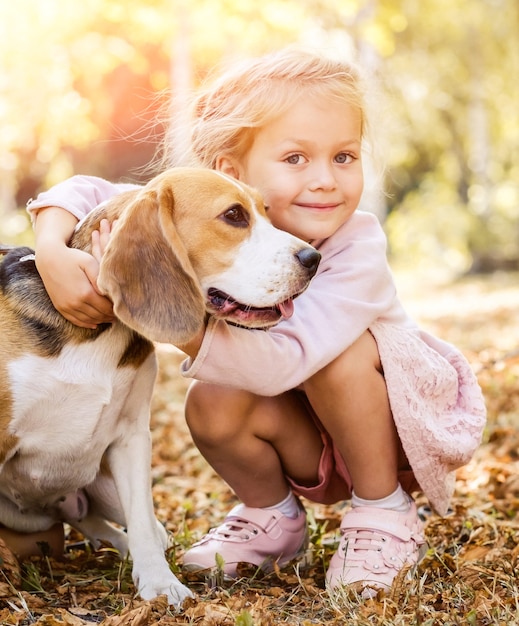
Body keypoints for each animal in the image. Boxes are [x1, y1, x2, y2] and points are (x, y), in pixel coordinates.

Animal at [0, 168, 320, 608]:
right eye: (234, 215)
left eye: (266, 211)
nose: (314, 259)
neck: (98, 331)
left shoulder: (132, 437)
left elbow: (140, 519)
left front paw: (159, 583)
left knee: (101, 520)